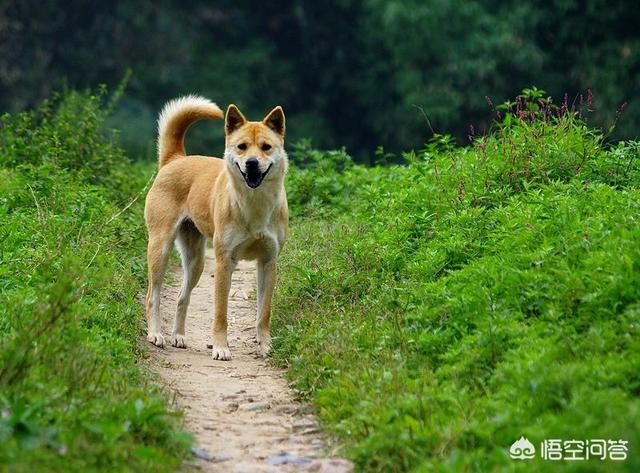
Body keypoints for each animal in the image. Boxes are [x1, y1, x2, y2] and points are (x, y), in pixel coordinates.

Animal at [144, 97, 288, 360]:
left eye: (266, 147)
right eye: (241, 147)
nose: (252, 163)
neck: (254, 204)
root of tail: (176, 159)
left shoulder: (268, 262)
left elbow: (264, 313)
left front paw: (265, 346)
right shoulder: (224, 262)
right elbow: (220, 313)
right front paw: (221, 347)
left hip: (196, 261)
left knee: (182, 297)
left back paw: (178, 336)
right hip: (160, 248)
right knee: (152, 296)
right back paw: (156, 334)